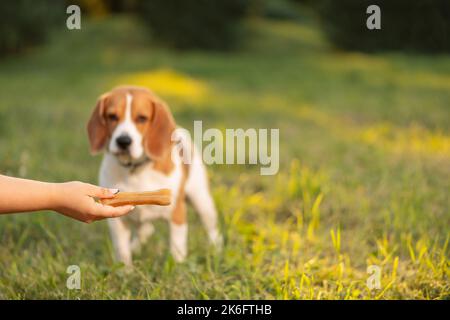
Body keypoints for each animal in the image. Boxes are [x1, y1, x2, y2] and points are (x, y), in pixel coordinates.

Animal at [86, 85, 221, 264]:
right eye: (112, 116)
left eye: (142, 118)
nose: (123, 141)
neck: (135, 169)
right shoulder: (117, 221)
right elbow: (122, 251)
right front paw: (126, 270)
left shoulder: (177, 215)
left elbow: (177, 248)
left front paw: (177, 266)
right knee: (146, 230)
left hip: (202, 201)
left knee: (212, 228)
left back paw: (216, 248)